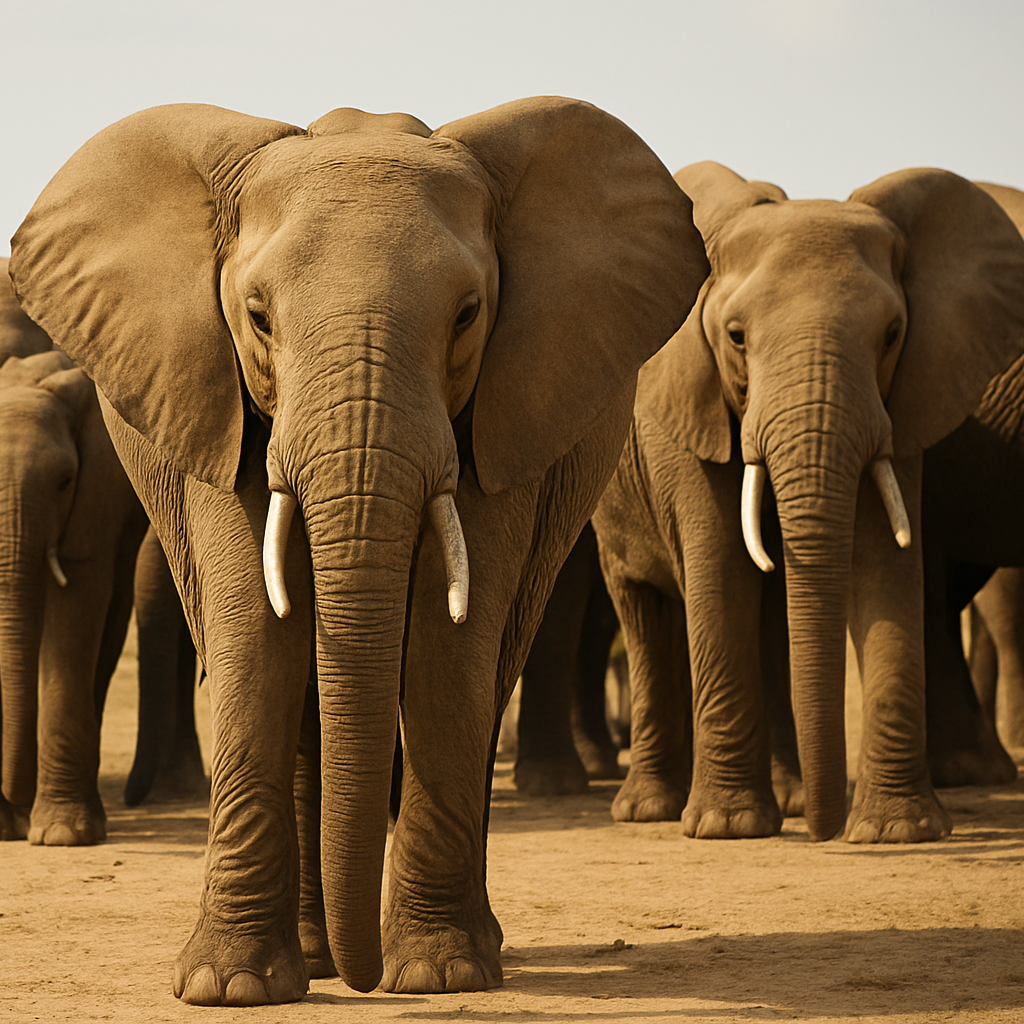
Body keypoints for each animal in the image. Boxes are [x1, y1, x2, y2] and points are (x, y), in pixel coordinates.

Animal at [593, 161, 1024, 844]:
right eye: (736, 338)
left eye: (892, 335)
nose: (828, 833)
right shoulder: (688, 410)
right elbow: (720, 567)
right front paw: (727, 828)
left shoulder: (903, 403)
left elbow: (886, 562)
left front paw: (896, 832)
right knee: (643, 615)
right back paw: (653, 810)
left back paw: (791, 801)